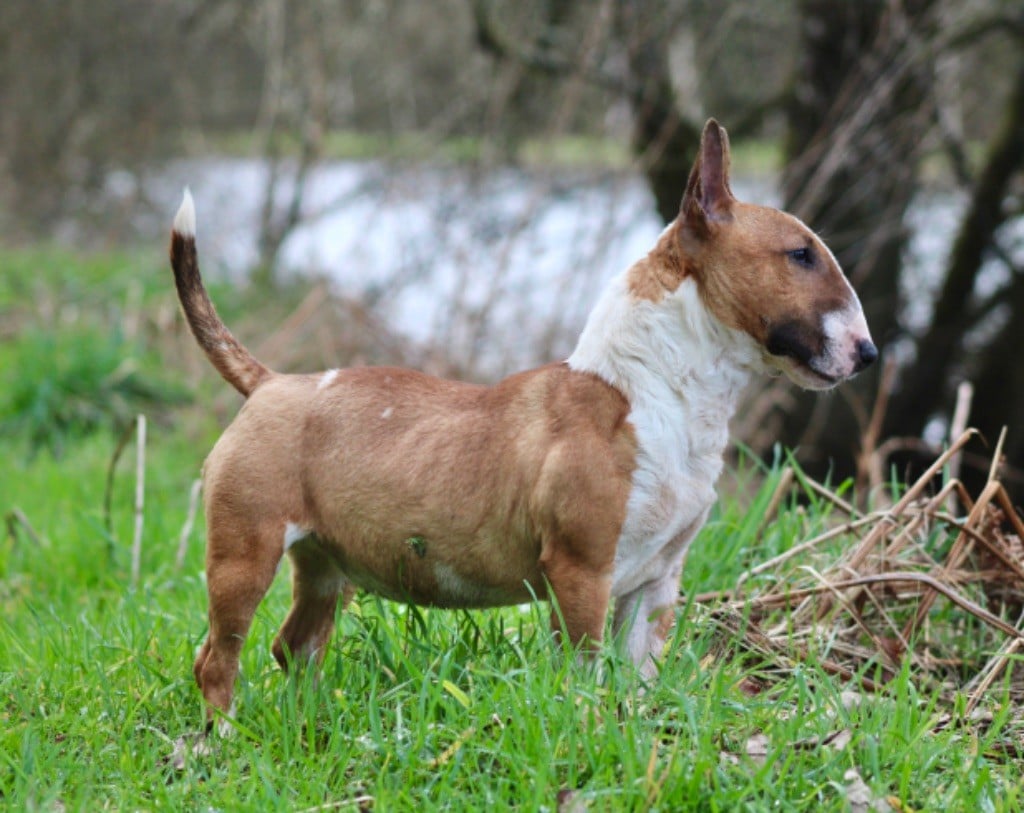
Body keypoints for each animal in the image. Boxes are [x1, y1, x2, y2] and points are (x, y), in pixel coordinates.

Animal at [172, 118, 876, 720]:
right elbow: (585, 675)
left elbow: (637, 680)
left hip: (325, 568)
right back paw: (220, 739)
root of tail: (270, 383)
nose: (869, 354)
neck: (655, 392)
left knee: (294, 646)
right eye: (801, 255)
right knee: (217, 657)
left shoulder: (655, 586)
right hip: (244, 555)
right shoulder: (581, 573)